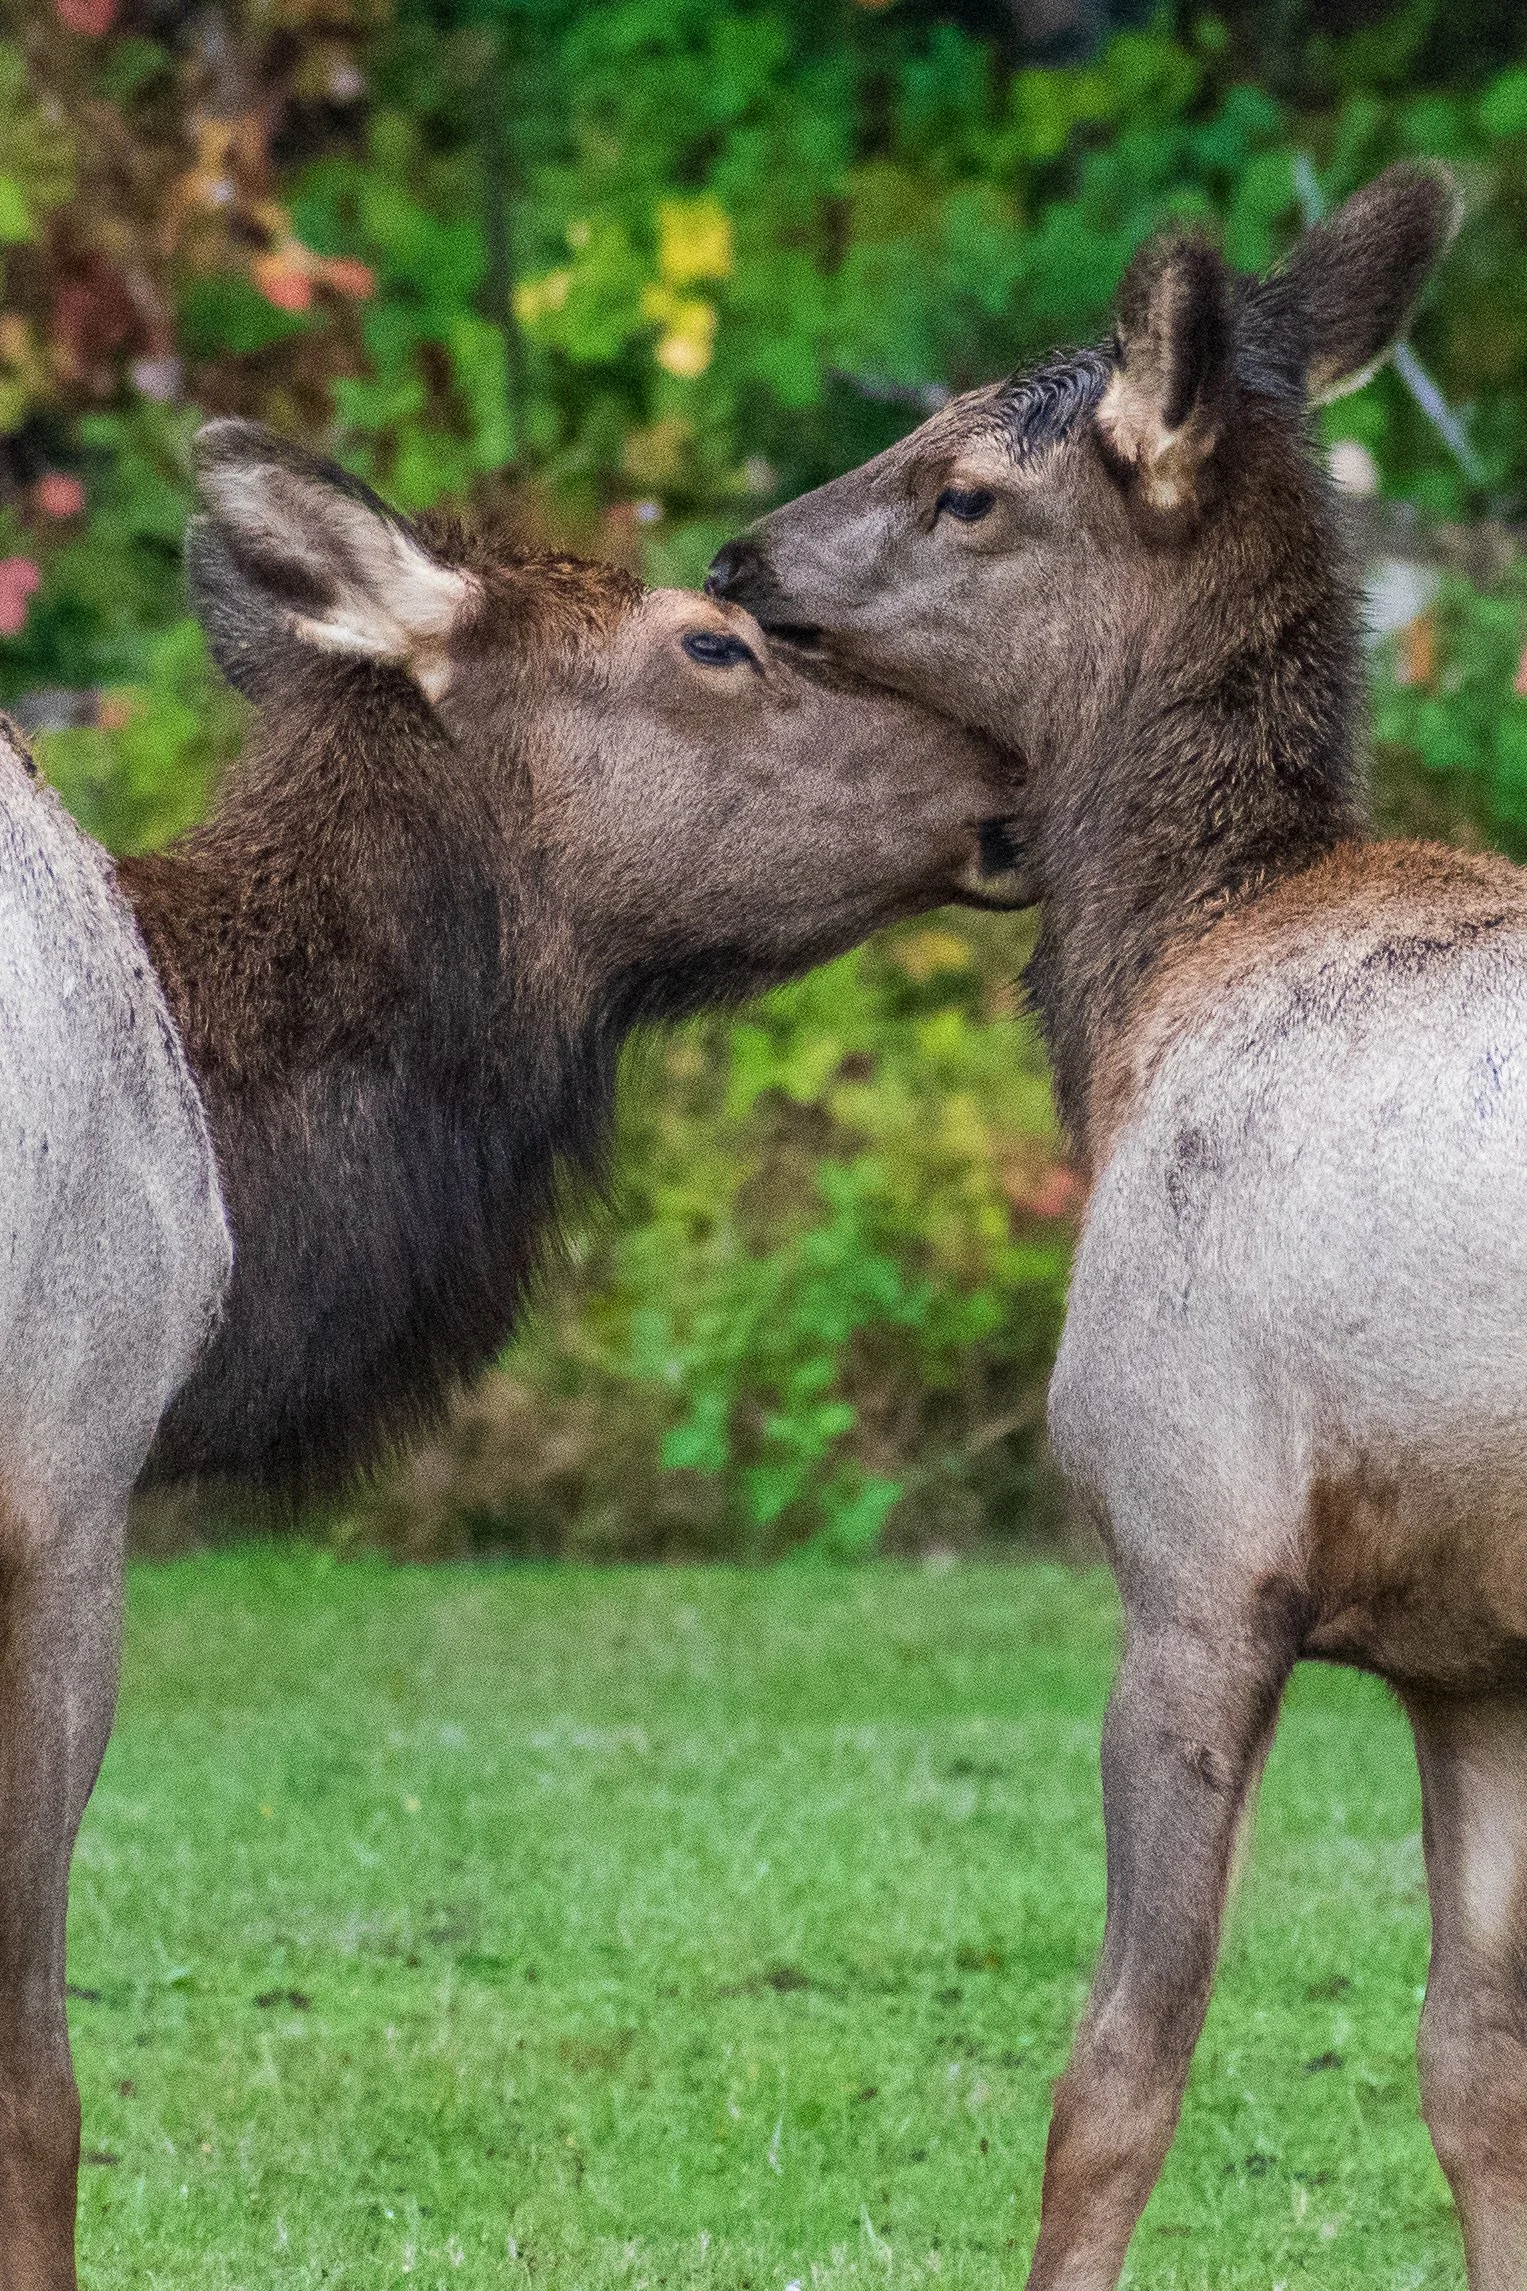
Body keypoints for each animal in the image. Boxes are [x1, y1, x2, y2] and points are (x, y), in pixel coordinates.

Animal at [705, 163, 1527, 2290]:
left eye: (966, 488)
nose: (742, 557)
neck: (1149, 984)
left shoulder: (1190, 1551)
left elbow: (1113, 2082)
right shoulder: (1473, 1654)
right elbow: (1472, 2062)